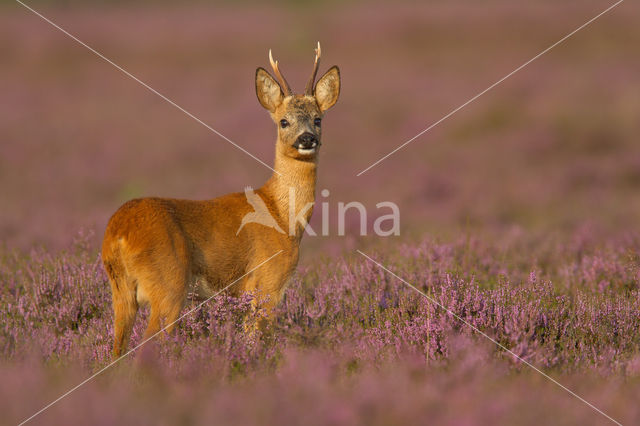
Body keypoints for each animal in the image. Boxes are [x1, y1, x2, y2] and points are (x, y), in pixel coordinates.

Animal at [102, 42, 340, 356]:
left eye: (318, 119)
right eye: (284, 121)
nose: (307, 138)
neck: (282, 216)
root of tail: (118, 235)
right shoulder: (268, 281)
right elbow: (259, 341)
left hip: (121, 291)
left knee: (116, 351)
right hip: (169, 284)